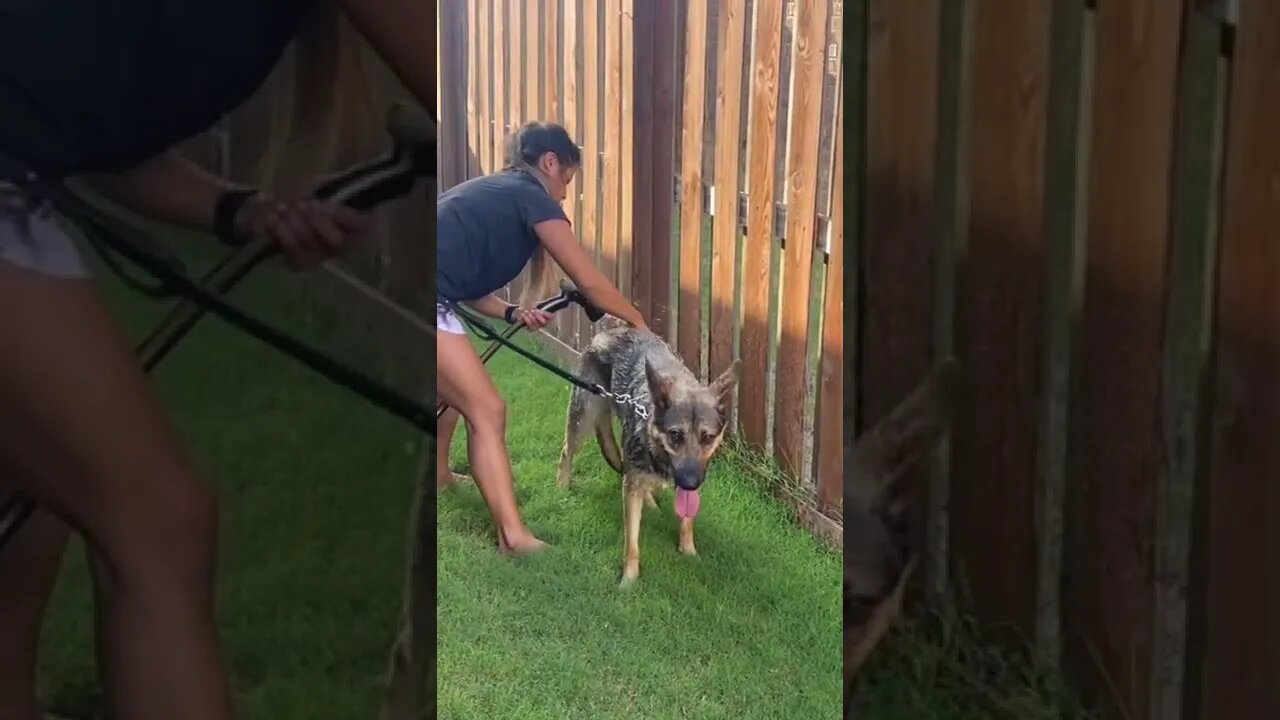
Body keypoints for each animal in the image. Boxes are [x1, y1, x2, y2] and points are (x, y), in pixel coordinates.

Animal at [552, 322, 742, 586]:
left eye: (707, 437)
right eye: (675, 435)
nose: (690, 483)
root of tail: (607, 331)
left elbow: (687, 522)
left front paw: (689, 553)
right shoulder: (632, 484)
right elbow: (631, 544)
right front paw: (629, 580)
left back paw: (650, 502)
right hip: (583, 419)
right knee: (566, 452)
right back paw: (562, 486)